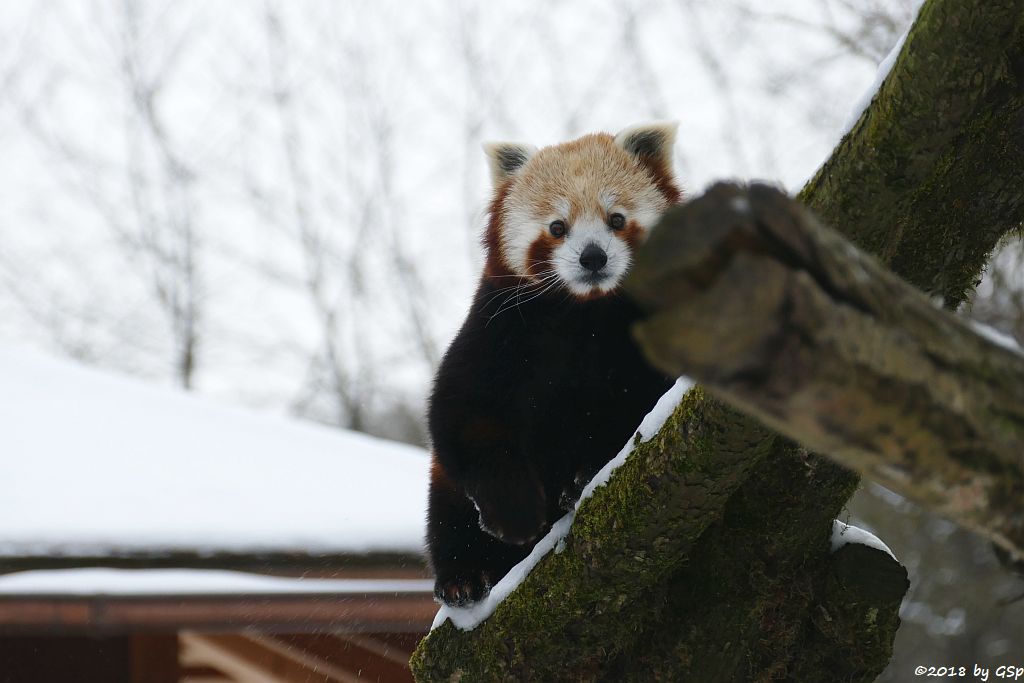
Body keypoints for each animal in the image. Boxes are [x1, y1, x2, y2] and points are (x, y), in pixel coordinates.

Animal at [423, 121, 679, 602]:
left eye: (616, 219)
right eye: (558, 227)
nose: (593, 257)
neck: (586, 313)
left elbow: (637, 404)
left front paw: (583, 475)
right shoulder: (497, 329)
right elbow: (463, 415)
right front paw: (514, 513)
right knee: (447, 515)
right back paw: (463, 576)